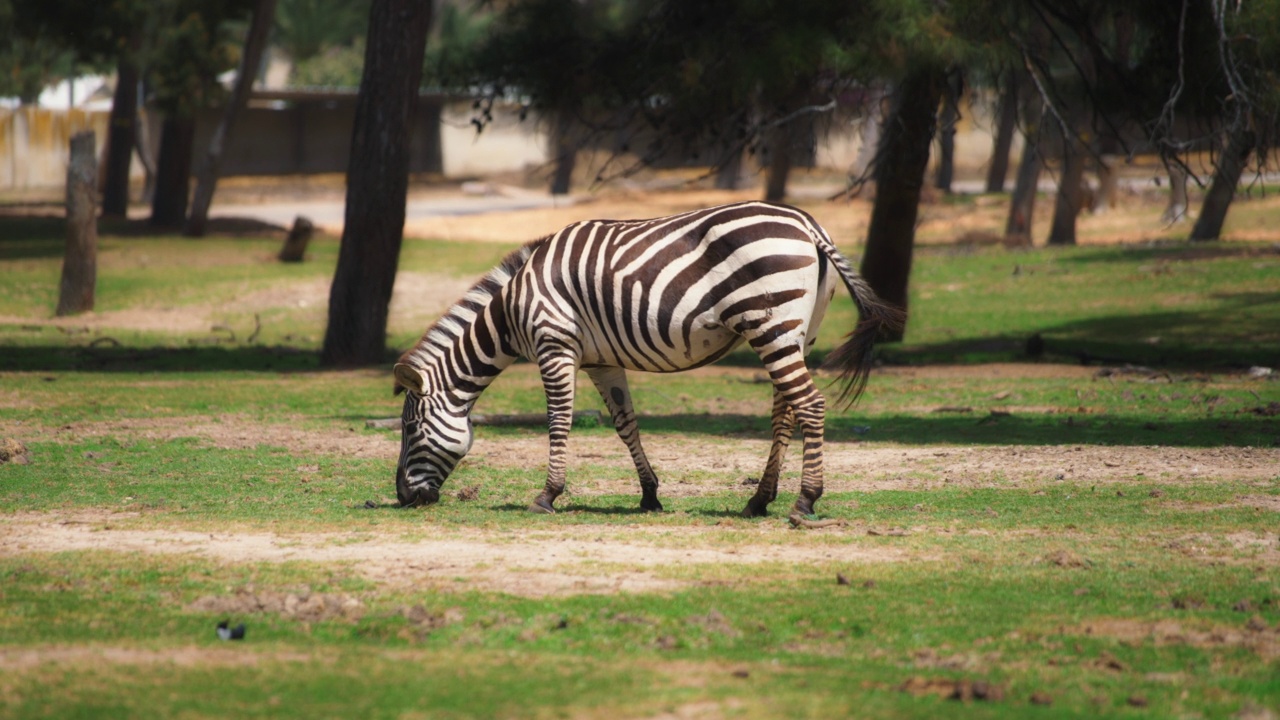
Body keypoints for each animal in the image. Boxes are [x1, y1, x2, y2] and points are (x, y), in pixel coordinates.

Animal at [394, 198, 906, 517]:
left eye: (411, 429)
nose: (401, 497)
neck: (511, 310)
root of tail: (807, 224)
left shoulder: (554, 344)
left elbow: (559, 421)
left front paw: (547, 495)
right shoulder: (600, 359)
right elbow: (626, 424)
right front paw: (649, 495)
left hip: (770, 324)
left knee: (810, 405)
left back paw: (805, 501)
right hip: (799, 330)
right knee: (787, 408)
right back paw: (759, 500)